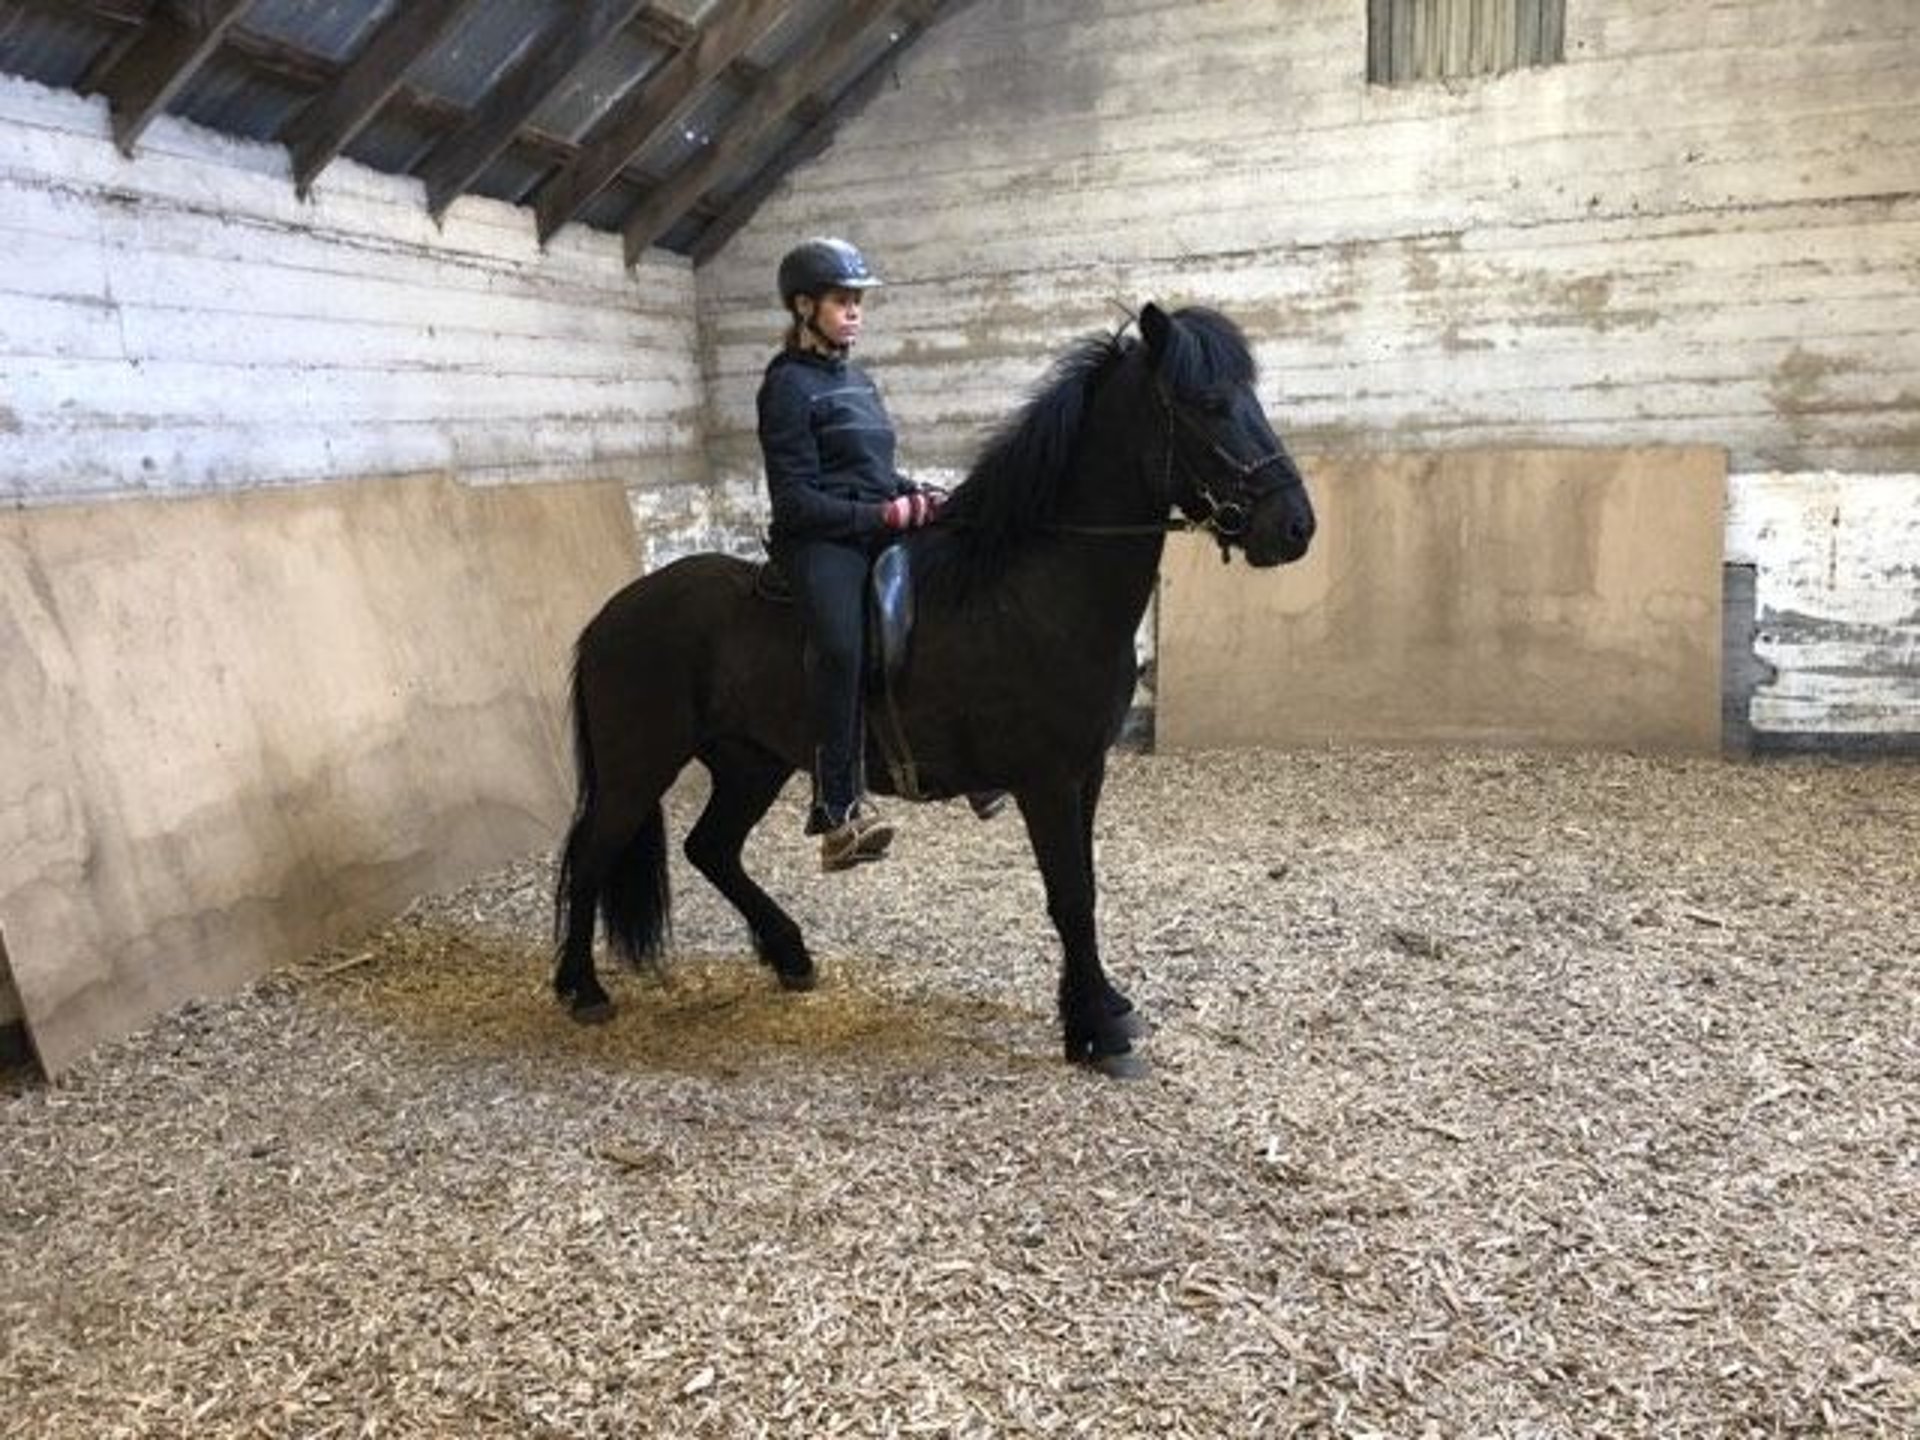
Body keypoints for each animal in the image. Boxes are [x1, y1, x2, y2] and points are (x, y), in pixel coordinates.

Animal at [549, 305, 1313, 1075]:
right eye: (1208, 404)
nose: (1297, 527)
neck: (1036, 590)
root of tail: (610, 615)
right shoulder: (1046, 779)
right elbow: (1070, 896)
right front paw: (1099, 1030)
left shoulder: (1085, 772)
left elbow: (1085, 889)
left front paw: (1098, 1010)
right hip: (639, 768)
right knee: (592, 855)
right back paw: (581, 989)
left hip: (751, 763)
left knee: (710, 848)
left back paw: (790, 955)